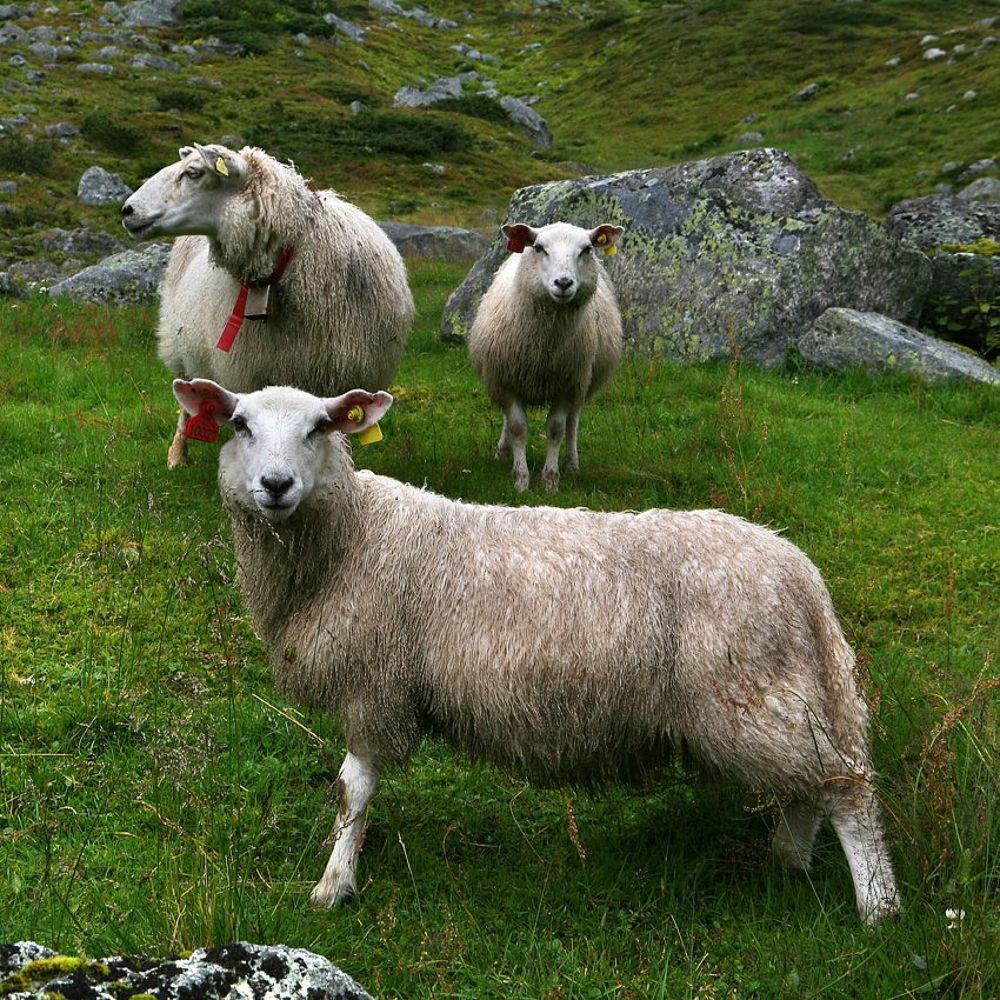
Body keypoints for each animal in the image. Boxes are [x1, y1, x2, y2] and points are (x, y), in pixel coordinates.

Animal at [172, 376, 902, 925]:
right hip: (773, 692)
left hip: (748, 693)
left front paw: (334, 885)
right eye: (239, 424)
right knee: (809, 786)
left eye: (320, 428)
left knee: (846, 786)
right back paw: (788, 862)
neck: (352, 535)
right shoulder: (377, 683)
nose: (275, 486)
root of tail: (801, 572)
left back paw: (878, 908)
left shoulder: (375, 685)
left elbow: (352, 791)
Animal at [467, 221, 624, 492]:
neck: (545, 350)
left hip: (583, 381)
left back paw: (572, 463)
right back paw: (503, 451)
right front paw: (521, 479)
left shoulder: (568, 385)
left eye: (586, 249)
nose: (563, 282)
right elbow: (517, 427)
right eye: (540, 248)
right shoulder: (505, 381)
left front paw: (550, 480)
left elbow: (556, 429)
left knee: (573, 421)